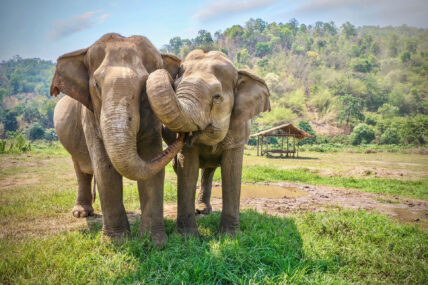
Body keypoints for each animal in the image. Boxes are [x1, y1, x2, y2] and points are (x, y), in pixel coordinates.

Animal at [50, 33, 184, 244]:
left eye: (144, 88)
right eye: (96, 85)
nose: (185, 135)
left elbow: (151, 159)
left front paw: (153, 242)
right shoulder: (90, 115)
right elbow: (104, 168)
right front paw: (116, 242)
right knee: (81, 170)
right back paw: (81, 213)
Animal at [145, 49, 270, 235]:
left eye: (217, 96)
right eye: (175, 87)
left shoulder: (238, 131)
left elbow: (232, 172)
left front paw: (230, 235)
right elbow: (188, 170)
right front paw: (187, 237)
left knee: (209, 171)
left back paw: (204, 210)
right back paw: (200, 210)